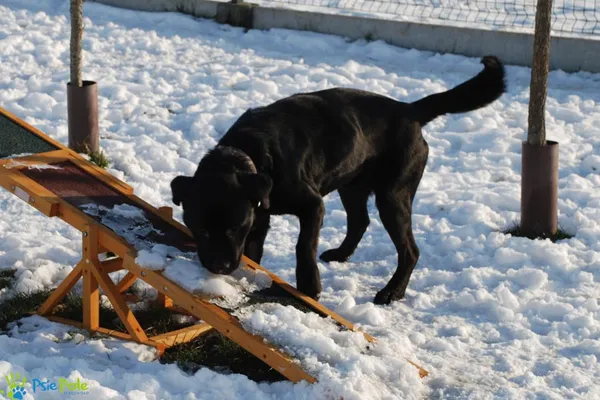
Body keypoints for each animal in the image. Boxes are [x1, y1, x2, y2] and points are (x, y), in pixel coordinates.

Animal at [171, 56, 504, 304]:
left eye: (233, 227)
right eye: (201, 228)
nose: (220, 266)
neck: (247, 152)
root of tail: (409, 110)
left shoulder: (311, 205)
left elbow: (303, 246)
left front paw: (309, 287)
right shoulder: (259, 216)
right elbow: (255, 253)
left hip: (393, 195)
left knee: (409, 250)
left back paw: (391, 292)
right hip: (352, 185)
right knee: (360, 222)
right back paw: (341, 255)